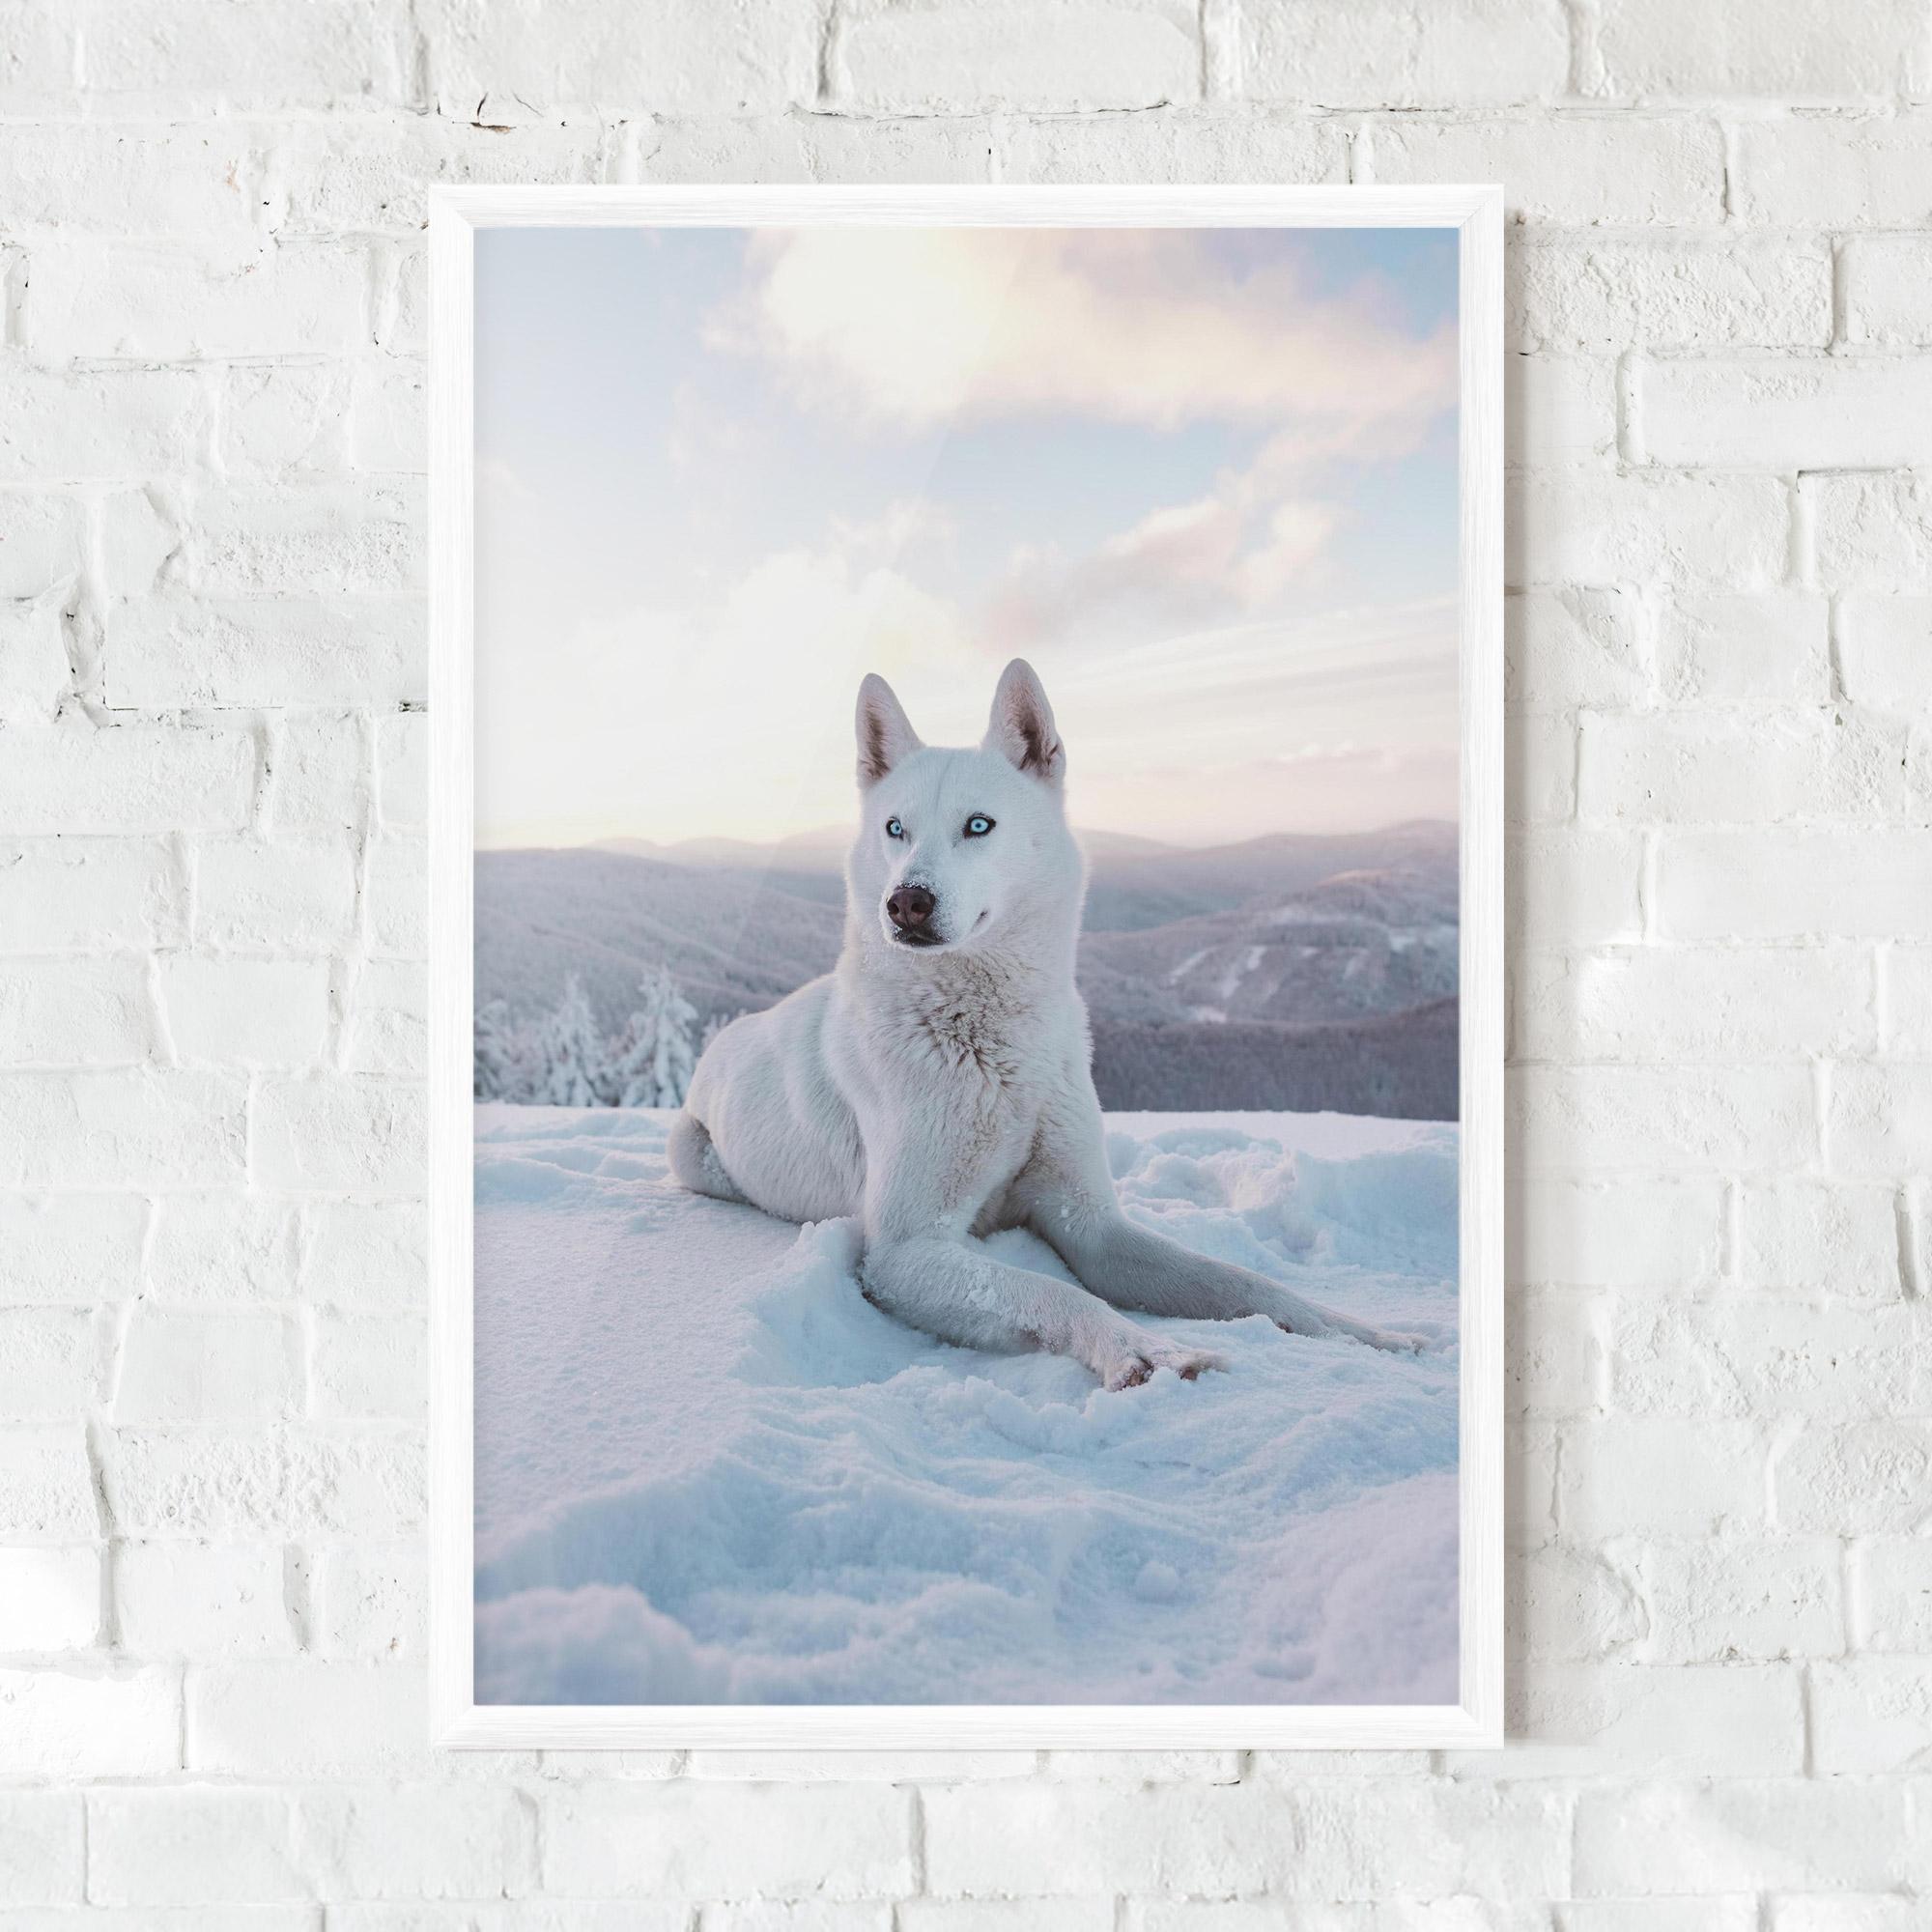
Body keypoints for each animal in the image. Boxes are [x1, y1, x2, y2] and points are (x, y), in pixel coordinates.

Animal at [669, 659, 1419, 1389]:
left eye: (978, 825)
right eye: (894, 829)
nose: (905, 901)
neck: (994, 1046)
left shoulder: (1092, 1224)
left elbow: (1240, 1281)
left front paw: (1364, 1333)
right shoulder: (908, 1251)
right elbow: (1053, 1291)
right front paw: (1146, 1351)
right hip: (694, 1156)